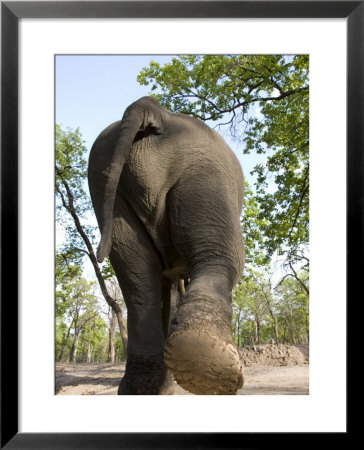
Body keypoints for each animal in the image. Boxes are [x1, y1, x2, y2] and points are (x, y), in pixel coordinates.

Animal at [88, 96, 245, 394]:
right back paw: (206, 363)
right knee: (223, 255)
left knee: (138, 279)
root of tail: (151, 108)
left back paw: (146, 386)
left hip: (104, 185)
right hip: (204, 168)